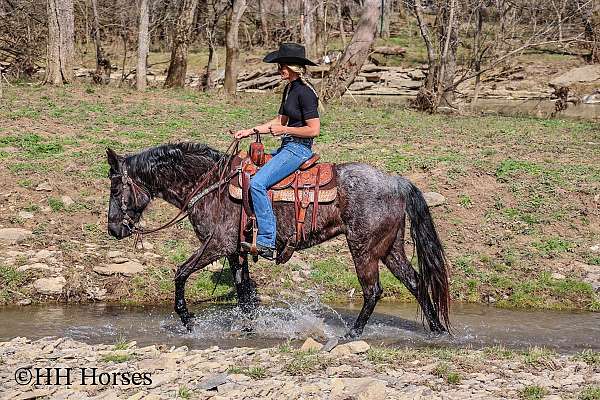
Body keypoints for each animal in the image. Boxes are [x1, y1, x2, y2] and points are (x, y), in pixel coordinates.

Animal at [105, 142, 450, 336]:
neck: (211, 185)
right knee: (416, 282)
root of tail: (395, 181)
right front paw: (249, 328)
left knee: (373, 290)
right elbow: (244, 294)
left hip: (363, 249)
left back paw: (353, 333)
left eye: (115, 187)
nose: (113, 229)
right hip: (390, 248)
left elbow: (180, 273)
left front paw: (188, 322)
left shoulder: (216, 245)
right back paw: (436, 330)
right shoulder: (236, 251)